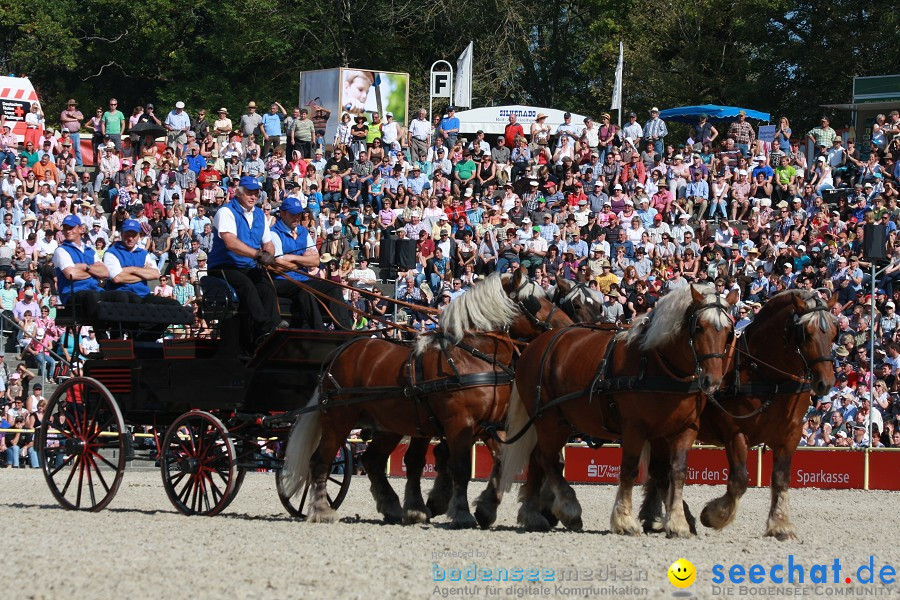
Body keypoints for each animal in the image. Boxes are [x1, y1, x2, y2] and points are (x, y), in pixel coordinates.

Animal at [280, 270, 576, 528]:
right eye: (534, 301)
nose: (567, 326)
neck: (471, 354)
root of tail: (341, 351)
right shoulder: (460, 424)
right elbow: (461, 467)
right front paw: (462, 513)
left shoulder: (489, 424)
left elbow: (500, 459)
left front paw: (483, 508)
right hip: (339, 420)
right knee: (321, 460)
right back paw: (321, 510)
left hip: (389, 425)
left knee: (372, 461)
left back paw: (393, 507)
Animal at [500, 284, 740, 536]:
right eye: (699, 327)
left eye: (728, 332)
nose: (712, 381)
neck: (658, 365)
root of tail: (536, 345)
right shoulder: (635, 428)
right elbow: (630, 469)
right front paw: (624, 520)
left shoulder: (683, 430)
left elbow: (677, 471)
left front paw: (677, 522)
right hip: (550, 420)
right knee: (546, 459)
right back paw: (568, 508)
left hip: (557, 422)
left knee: (538, 459)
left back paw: (533, 514)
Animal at [640, 290, 836, 540]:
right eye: (807, 333)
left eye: (834, 332)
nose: (825, 382)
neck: (768, 377)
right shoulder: (736, 433)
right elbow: (740, 480)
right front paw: (714, 515)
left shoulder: (790, 436)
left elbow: (781, 479)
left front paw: (780, 524)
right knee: (660, 471)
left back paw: (654, 516)